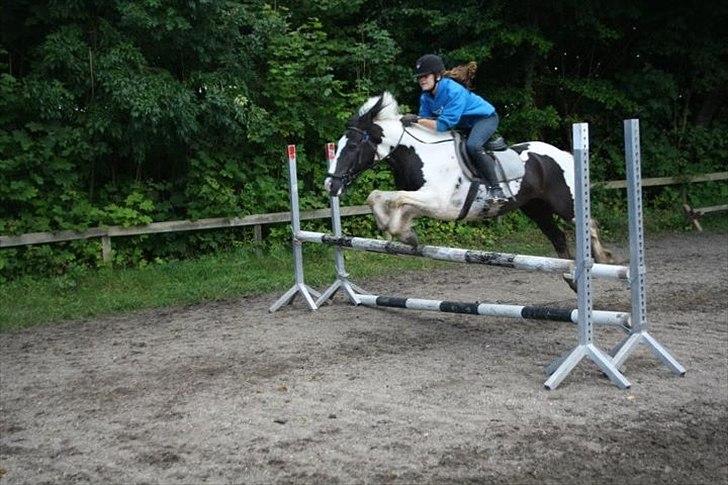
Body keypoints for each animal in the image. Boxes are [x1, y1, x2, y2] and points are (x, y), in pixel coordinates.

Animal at [324, 91, 616, 288]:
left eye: (352, 146)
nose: (331, 184)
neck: (420, 154)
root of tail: (564, 153)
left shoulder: (439, 202)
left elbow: (396, 200)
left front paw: (399, 231)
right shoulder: (423, 200)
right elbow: (380, 197)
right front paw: (404, 233)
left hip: (565, 203)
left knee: (589, 224)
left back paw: (603, 259)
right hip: (535, 208)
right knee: (558, 237)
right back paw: (570, 277)